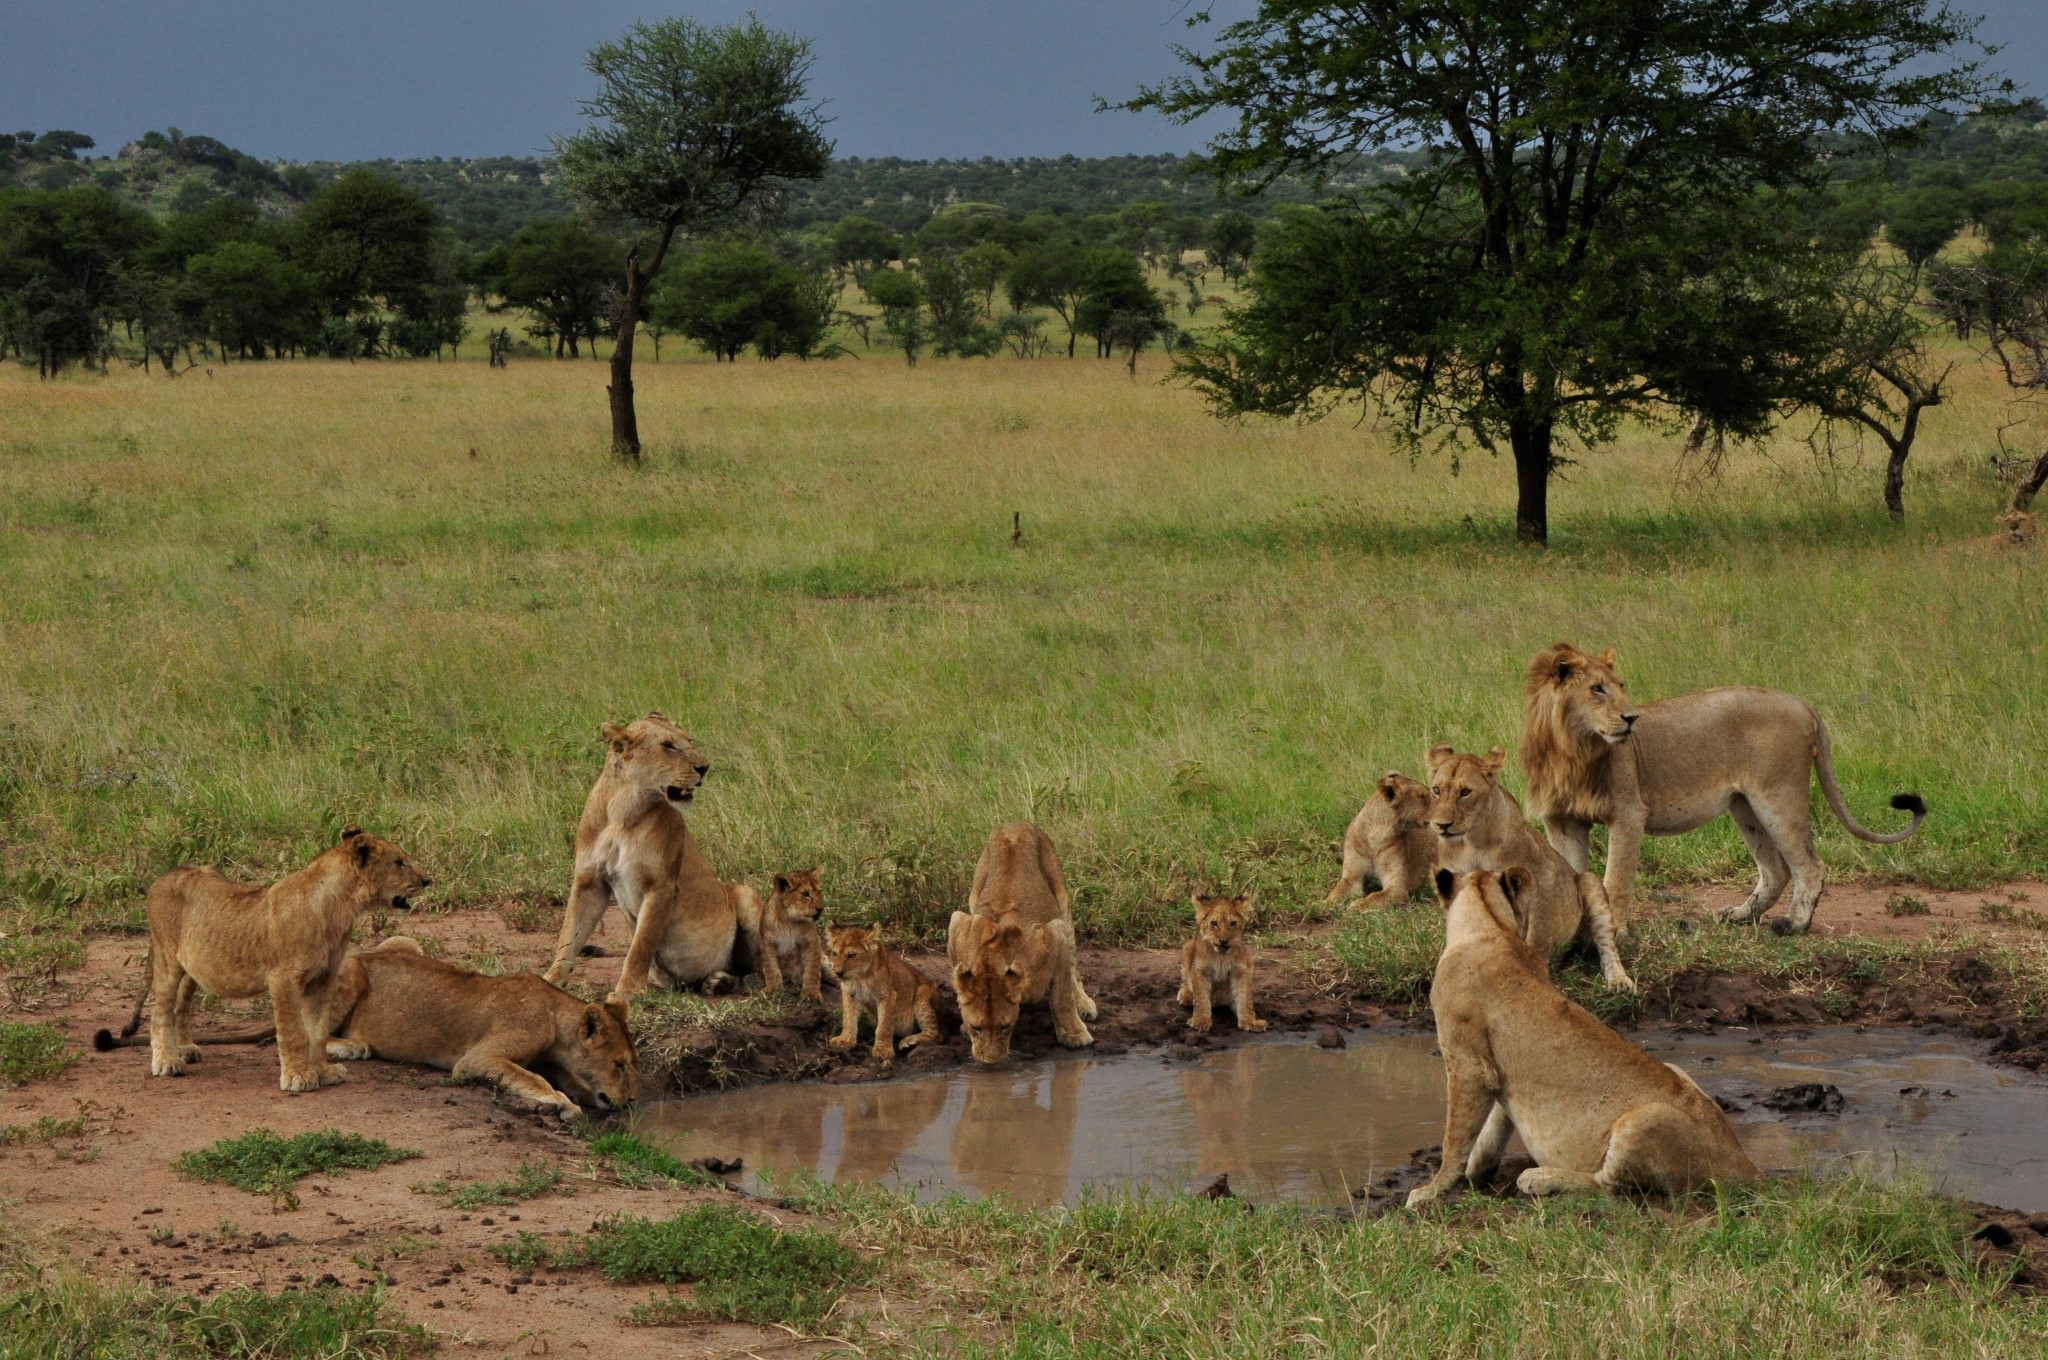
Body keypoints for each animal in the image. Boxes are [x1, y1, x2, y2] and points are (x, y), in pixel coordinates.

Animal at [1531, 643, 1925, 929]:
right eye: (1597, 689)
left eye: (1620, 687)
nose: (1631, 718)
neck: (1569, 750)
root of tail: (1802, 703)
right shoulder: (1562, 822)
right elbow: (1572, 879)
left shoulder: (1628, 815)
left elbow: (1614, 882)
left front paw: (1614, 934)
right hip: (1744, 804)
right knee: (1775, 870)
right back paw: (1740, 916)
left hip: (1778, 795)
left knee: (1809, 866)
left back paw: (1794, 925)